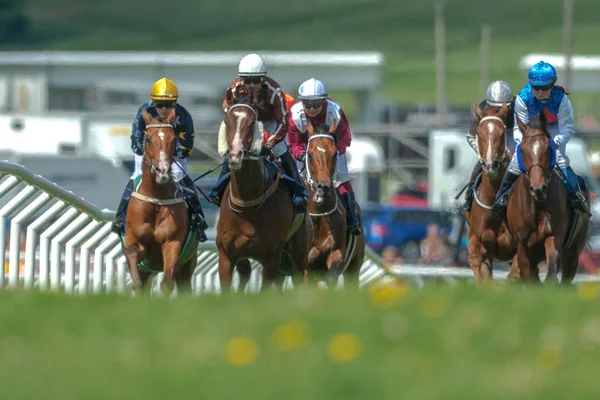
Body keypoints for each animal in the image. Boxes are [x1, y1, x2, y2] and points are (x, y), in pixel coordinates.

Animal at [121, 108, 197, 296]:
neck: (156, 199)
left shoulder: (173, 242)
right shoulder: (136, 240)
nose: (162, 170)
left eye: (174, 139)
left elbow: (167, 283)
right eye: (148, 139)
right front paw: (136, 285)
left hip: (188, 263)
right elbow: (132, 253)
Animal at [214, 91, 312, 294]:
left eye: (252, 122)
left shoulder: (272, 257)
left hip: (299, 250)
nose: (235, 155)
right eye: (227, 121)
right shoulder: (226, 255)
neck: (248, 205)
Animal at [304, 120, 366, 286]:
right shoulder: (305, 266)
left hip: (354, 267)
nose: (323, 187)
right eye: (310, 154)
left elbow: (332, 269)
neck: (319, 215)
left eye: (334, 153)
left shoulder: (337, 254)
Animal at [506, 114, 592, 282]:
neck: (537, 206)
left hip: (574, 251)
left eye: (548, 148)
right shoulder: (522, 244)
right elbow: (528, 275)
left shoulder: (554, 237)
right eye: (522, 150)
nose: (538, 189)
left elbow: (551, 274)